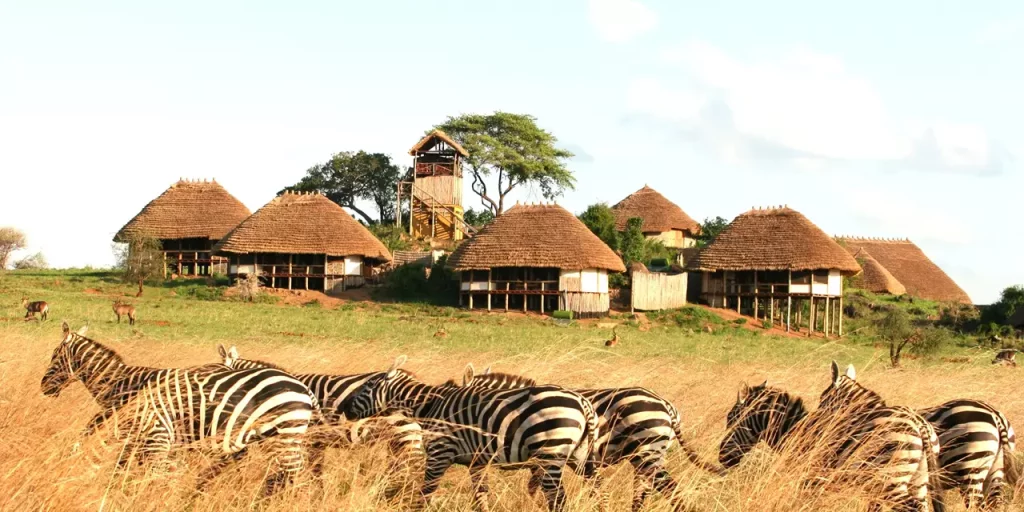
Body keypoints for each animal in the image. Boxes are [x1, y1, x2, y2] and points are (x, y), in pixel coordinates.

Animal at [41, 321, 315, 493]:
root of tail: (302, 387)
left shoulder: (151, 433)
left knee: (295, 475)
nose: (43, 387)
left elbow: (146, 473)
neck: (123, 384)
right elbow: (123, 469)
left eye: (54, 355)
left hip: (285, 435)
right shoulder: (138, 437)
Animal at [344, 356, 598, 512]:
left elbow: (426, 493)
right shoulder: (477, 461)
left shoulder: (439, 453)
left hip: (551, 455)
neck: (429, 406)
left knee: (558, 499)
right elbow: (480, 496)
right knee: (595, 487)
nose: (345, 409)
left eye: (366, 388)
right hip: (580, 457)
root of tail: (582, 402)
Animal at [460, 364, 724, 512]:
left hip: (647, 451)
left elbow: (534, 489)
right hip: (647, 455)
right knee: (652, 490)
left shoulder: (542, 456)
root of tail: (666, 405)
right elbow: (534, 489)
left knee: (668, 487)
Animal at [815, 362, 942, 512]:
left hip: (892, 479)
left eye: (822, 399)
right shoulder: (872, 487)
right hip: (920, 480)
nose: (816, 422)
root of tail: (920, 424)